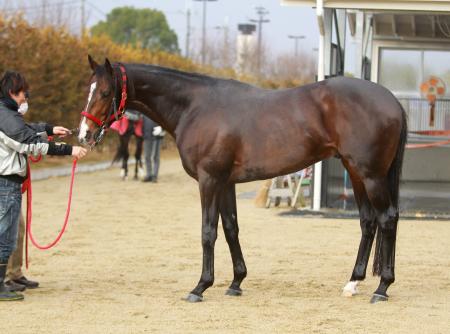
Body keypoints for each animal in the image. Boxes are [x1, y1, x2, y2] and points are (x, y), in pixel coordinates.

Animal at [77, 56, 408, 304]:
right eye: (87, 90)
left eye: (104, 93)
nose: (84, 135)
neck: (195, 106)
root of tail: (391, 100)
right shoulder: (226, 182)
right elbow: (231, 228)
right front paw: (236, 282)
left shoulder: (209, 180)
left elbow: (208, 232)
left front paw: (200, 287)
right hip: (356, 173)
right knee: (368, 221)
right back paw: (353, 283)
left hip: (371, 175)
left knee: (387, 218)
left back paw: (382, 288)